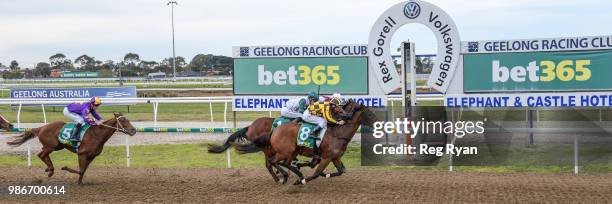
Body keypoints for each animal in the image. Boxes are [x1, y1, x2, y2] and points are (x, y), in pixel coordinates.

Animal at [5, 112, 136, 184]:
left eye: (128, 119)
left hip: (57, 146)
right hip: (52, 146)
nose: (133, 130)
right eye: (123, 120)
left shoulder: (92, 156)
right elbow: (81, 170)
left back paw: (49, 169)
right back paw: (50, 170)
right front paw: (65, 168)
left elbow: (83, 170)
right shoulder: (82, 154)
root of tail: (41, 128)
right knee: (41, 154)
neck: (96, 135)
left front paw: (80, 182)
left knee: (41, 153)